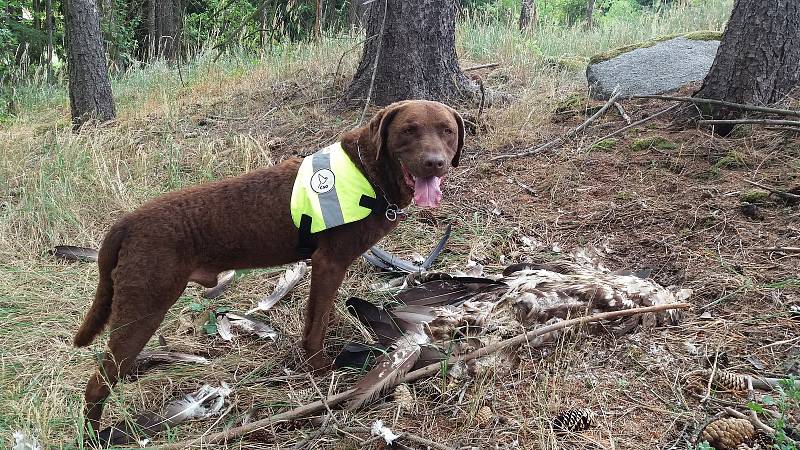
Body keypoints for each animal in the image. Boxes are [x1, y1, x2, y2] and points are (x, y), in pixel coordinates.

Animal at [76, 99, 462, 432]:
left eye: (446, 131)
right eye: (408, 130)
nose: (434, 162)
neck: (368, 172)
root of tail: (127, 223)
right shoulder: (329, 263)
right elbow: (317, 325)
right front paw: (318, 368)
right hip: (144, 306)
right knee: (97, 384)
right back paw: (96, 435)